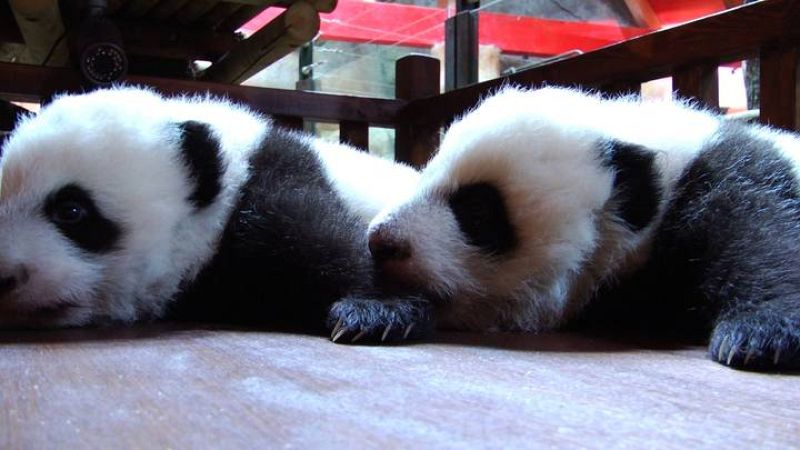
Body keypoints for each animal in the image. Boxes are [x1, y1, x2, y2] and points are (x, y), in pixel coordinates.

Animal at [367, 86, 800, 370]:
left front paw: (761, 332)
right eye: (425, 174)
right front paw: (382, 312)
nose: (381, 241)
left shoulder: (729, 173)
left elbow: (761, 236)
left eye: (477, 211)